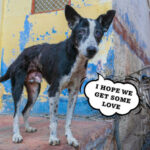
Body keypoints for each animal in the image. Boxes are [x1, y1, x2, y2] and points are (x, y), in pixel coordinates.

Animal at [0, 4, 115, 148]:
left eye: (98, 33)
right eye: (81, 31)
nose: (92, 50)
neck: (75, 58)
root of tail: (20, 55)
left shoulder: (74, 92)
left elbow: (69, 120)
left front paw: (70, 138)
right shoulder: (53, 91)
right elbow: (54, 120)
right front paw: (53, 138)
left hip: (34, 90)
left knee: (25, 111)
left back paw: (28, 128)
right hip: (18, 88)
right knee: (15, 114)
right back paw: (16, 135)